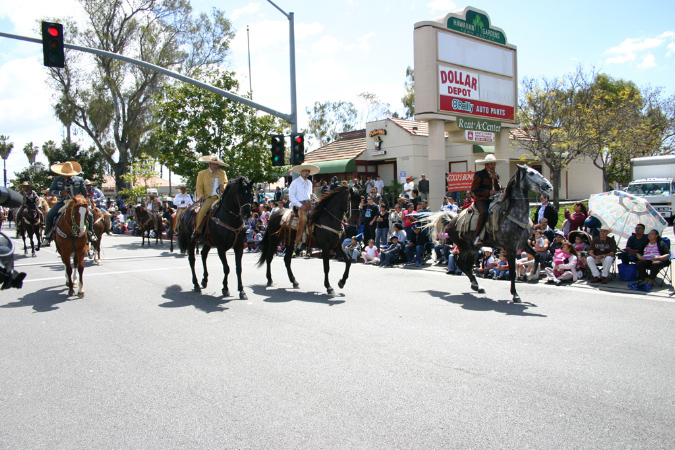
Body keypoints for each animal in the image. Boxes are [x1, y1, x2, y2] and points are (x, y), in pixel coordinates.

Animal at [428, 163, 556, 304]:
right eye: (531, 173)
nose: (549, 186)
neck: (512, 213)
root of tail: (452, 220)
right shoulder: (511, 248)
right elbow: (512, 272)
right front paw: (515, 295)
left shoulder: (522, 244)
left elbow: (537, 256)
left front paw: (530, 274)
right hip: (464, 247)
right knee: (461, 264)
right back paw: (476, 285)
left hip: (473, 249)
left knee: (466, 265)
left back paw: (476, 286)